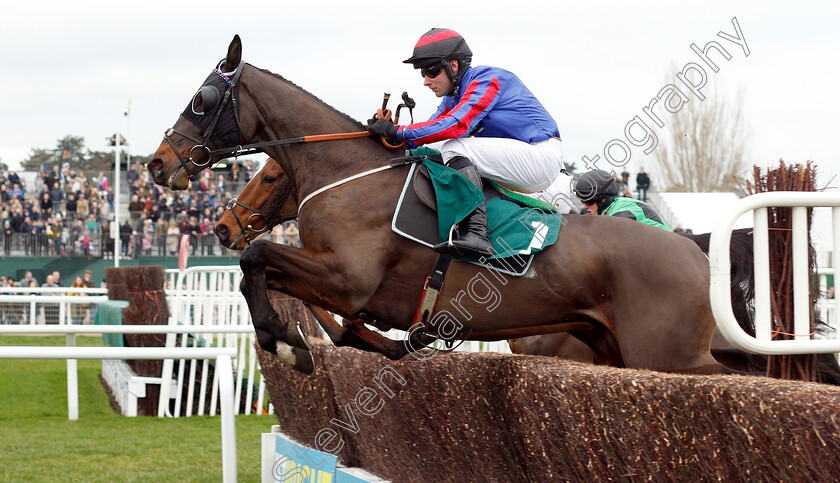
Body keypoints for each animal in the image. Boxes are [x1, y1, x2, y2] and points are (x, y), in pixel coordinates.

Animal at [148, 36, 732, 376]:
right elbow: (278, 284)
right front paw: (298, 339)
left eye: (200, 100)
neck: (347, 173)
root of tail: (695, 250)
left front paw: (289, 342)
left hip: (670, 355)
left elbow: (259, 259)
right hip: (611, 346)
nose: (157, 164)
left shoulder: (348, 277)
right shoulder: (340, 284)